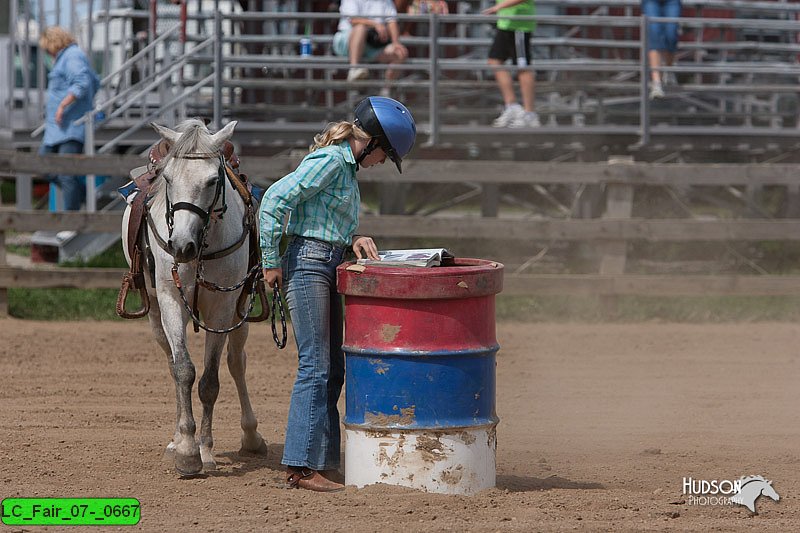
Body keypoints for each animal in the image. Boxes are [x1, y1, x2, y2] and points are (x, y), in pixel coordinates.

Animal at [120, 119, 268, 474]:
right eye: (168, 179)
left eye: (213, 180)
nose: (181, 246)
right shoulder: (170, 301)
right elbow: (184, 371)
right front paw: (187, 449)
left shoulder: (223, 309)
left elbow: (210, 381)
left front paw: (206, 451)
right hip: (155, 313)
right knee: (173, 363)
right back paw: (176, 439)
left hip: (240, 312)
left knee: (236, 363)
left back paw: (251, 436)